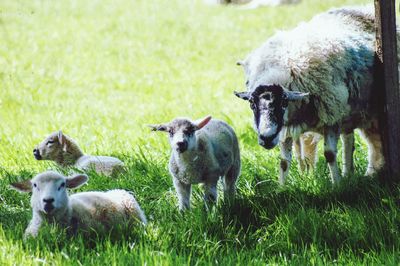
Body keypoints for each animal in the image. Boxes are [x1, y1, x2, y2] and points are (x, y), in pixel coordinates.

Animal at [234, 5, 388, 184]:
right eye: (252, 104)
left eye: (283, 103)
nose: (266, 138)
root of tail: (360, 8)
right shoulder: (285, 128)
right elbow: (284, 162)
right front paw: (282, 186)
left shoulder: (331, 117)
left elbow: (329, 154)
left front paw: (337, 185)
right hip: (350, 113)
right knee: (349, 139)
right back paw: (349, 172)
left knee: (372, 142)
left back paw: (369, 172)